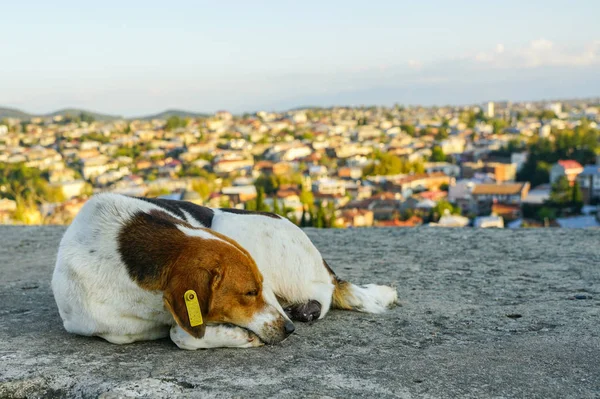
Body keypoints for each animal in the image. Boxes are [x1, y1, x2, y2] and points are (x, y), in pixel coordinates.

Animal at [52, 194, 398, 350]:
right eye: (249, 293)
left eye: (258, 289)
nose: (288, 330)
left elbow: (181, 333)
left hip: (231, 223)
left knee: (323, 290)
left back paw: (305, 307)